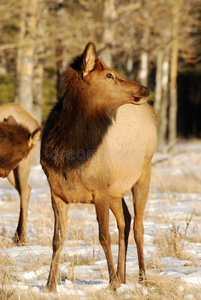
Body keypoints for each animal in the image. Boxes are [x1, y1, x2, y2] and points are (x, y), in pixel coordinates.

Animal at [0, 103, 40, 244]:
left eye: (22, 154)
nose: (2, 172)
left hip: (21, 167)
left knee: (24, 191)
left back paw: (21, 238)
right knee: (27, 189)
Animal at [40, 41, 157, 292]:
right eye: (109, 74)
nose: (145, 89)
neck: (70, 156)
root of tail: (151, 112)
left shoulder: (100, 191)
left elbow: (104, 236)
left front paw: (112, 283)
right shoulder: (57, 193)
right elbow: (57, 239)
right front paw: (49, 285)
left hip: (144, 171)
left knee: (139, 225)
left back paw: (142, 278)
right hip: (116, 191)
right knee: (125, 220)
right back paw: (124, 276)